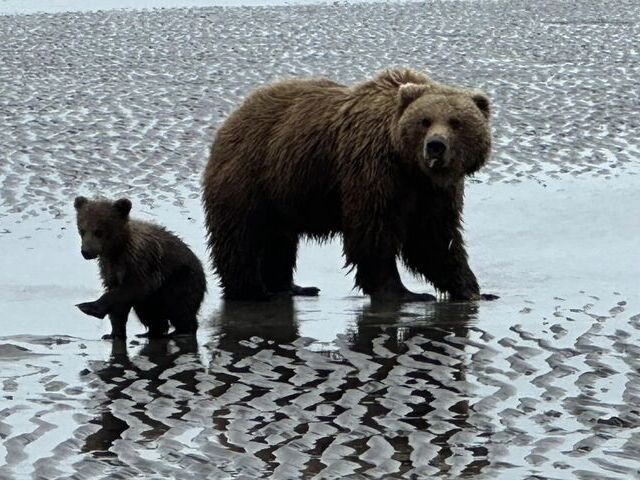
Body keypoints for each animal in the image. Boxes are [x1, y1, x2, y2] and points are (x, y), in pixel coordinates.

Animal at [202, 68, 498, 300]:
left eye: (456, 122)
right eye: (425, 121)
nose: (435, 145)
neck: (408, 166)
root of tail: (231, 118)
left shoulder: (434, 191)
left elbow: (434, 238)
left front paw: (472, 289)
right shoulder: (372, 169)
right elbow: (373, 230)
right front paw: (403, 291)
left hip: (280, 192)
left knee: (279, 240)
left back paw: (291, 287)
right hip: (250, 175)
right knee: (243, 236)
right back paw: (252, 291)